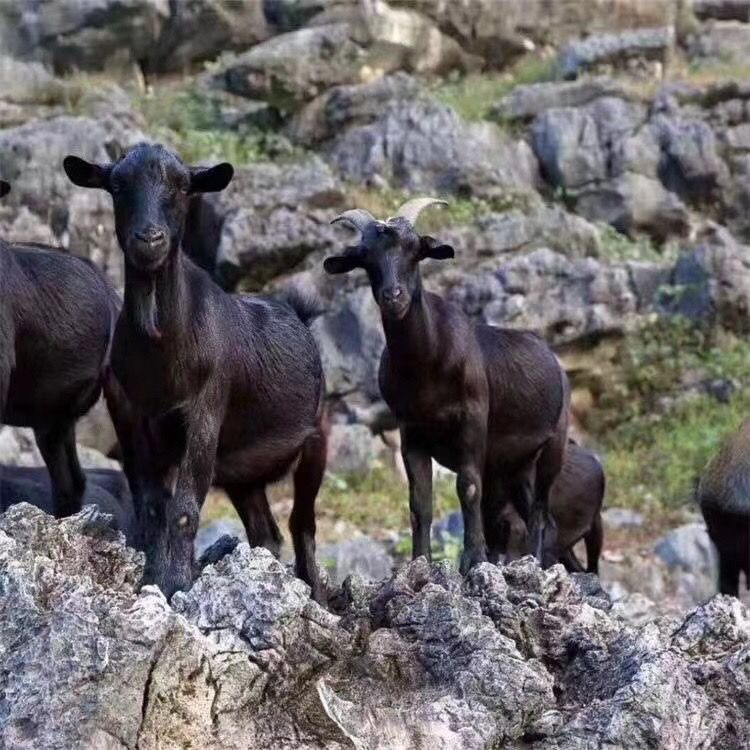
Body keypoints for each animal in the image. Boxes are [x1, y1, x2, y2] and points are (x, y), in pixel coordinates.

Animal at [324, 197, 568, 572]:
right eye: (365, 258)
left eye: (415, 250)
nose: (393, 296)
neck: (427, 369)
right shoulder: (411, 433)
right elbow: (419, 501)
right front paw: (419, 561)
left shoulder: (472, 422)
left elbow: (468, 488)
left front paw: (474, 559)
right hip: (516, 465)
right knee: (532, 512)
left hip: (553, 447)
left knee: (542, 513)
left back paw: (536, 564)